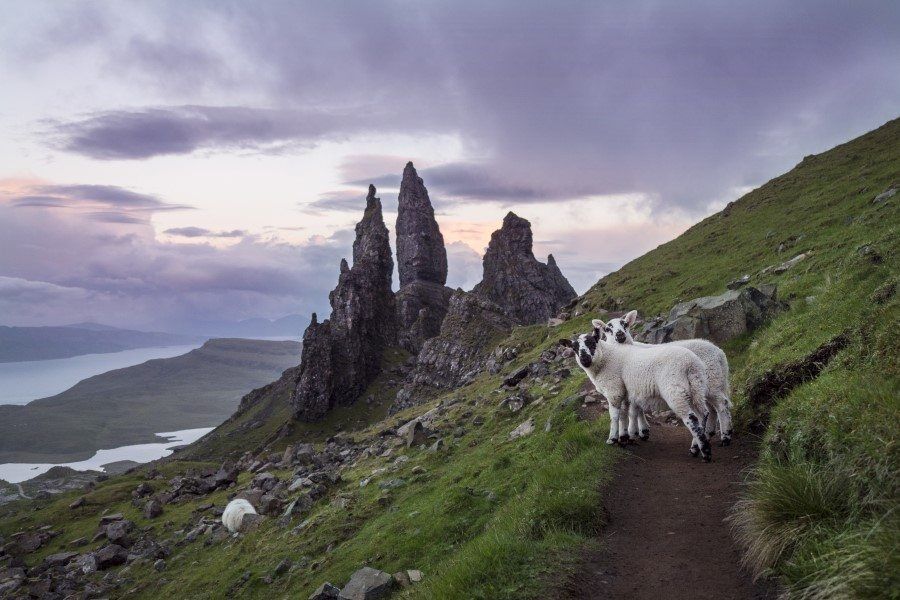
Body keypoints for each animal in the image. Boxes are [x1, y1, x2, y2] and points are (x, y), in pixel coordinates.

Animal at [564, 322, 716, 462]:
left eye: (591, 342)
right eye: (574, 348)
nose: (584, 359)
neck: (605, 358)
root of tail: (691, 364)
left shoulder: (614, 390)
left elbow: (614, 416)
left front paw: (612, 439)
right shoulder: (624, 392)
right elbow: (624, 415)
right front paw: (624, 438)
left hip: (676, 390)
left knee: (692, 419)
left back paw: (705, 453)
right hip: (696, 389)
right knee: (703, 415)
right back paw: (696, 448)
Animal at [600, 310, 736, 446]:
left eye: (625, 324)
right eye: (608, 329)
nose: (620, 334)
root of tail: (719, 353)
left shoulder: (635, 386)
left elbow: (634, 410)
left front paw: (634, 433)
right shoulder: (635, 388)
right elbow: (637, 410)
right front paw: (642, 431)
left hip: (712, 381)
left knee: (721, 404)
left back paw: (725, 437)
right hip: (704, 386)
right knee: (711, 409)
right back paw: (708, 434)